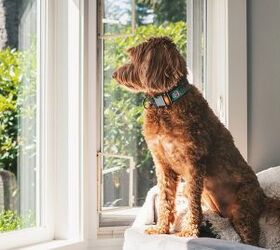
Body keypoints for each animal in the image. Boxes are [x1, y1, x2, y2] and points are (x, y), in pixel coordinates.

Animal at [112, 37, 280, 246]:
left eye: (134, 57)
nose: (114, 74)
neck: (167, 102)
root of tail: (263, 197)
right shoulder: (163, 164)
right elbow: (165, 198)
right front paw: (161, 228)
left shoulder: (194, 162)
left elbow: (192, 200)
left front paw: (189, 231)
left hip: (243, 210)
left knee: (252, 239)